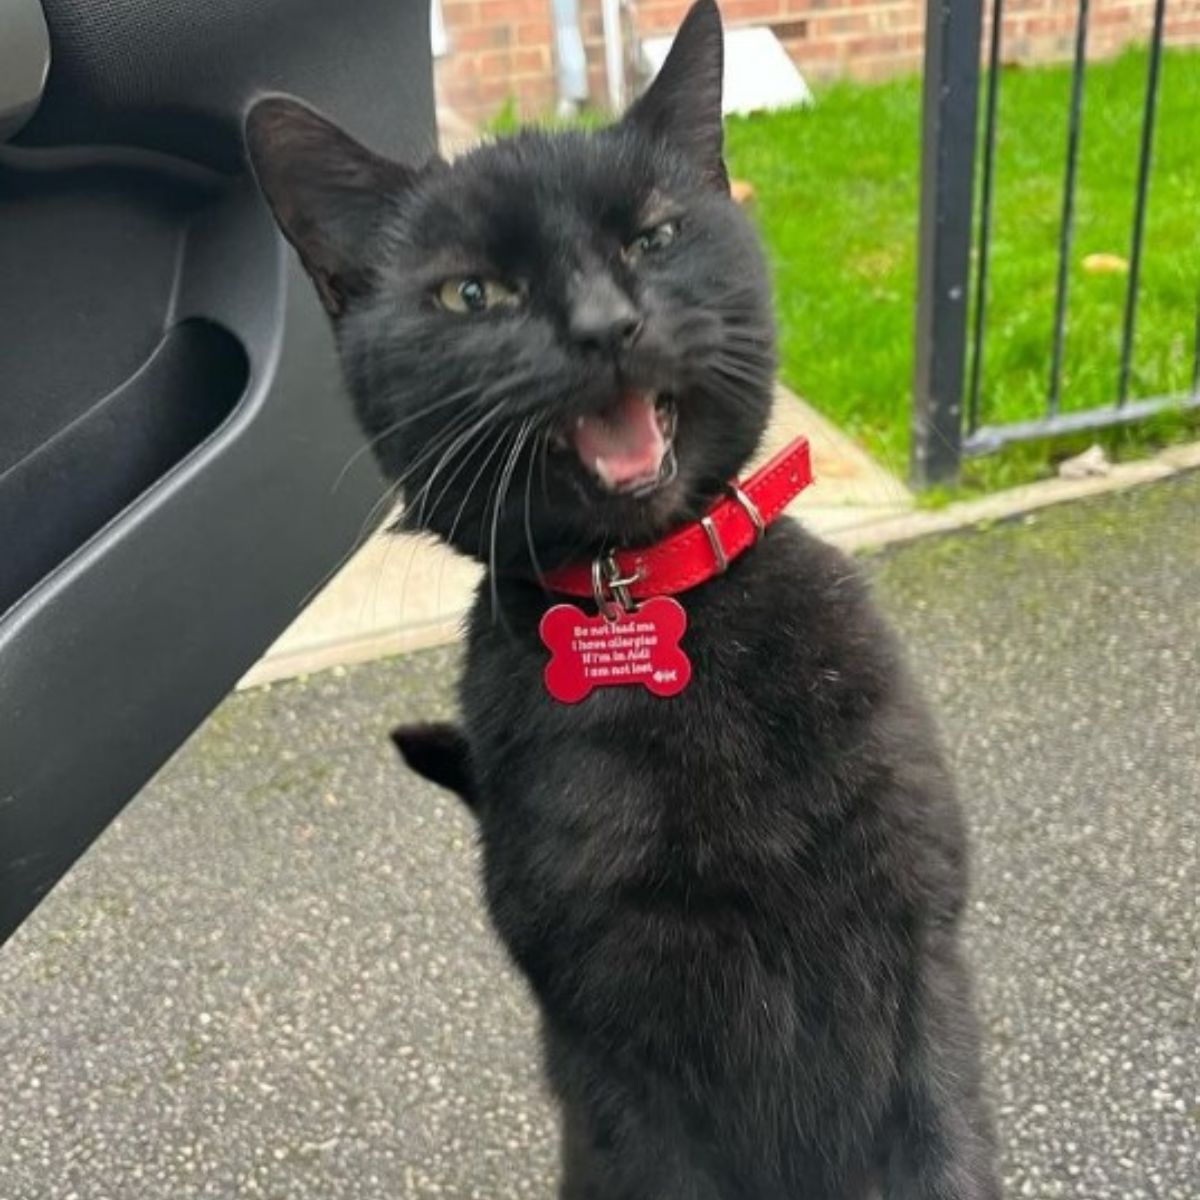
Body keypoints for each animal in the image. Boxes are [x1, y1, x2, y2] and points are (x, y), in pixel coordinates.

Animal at [243, 4, 1003, 1195]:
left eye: (653, 237)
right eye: (474, 293)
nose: (606, 324)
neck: (644, 602)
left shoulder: (917, 954)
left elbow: (943, 1151)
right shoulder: (623, 1054)